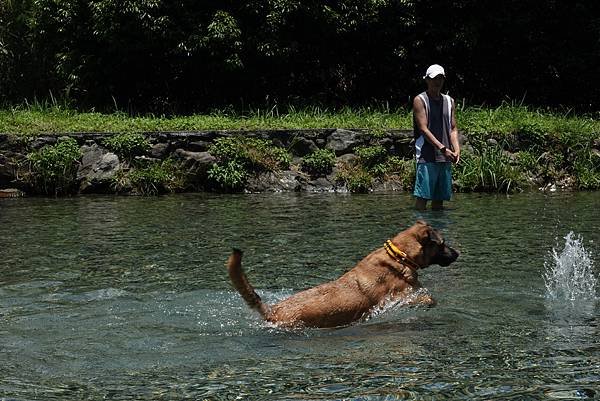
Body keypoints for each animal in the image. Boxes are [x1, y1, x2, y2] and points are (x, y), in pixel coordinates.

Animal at [226, 219, 460, 328]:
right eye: (442, 244)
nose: (458, 253)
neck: (399, 256)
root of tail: (273, 310)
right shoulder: (403, 294)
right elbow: (428, 298)